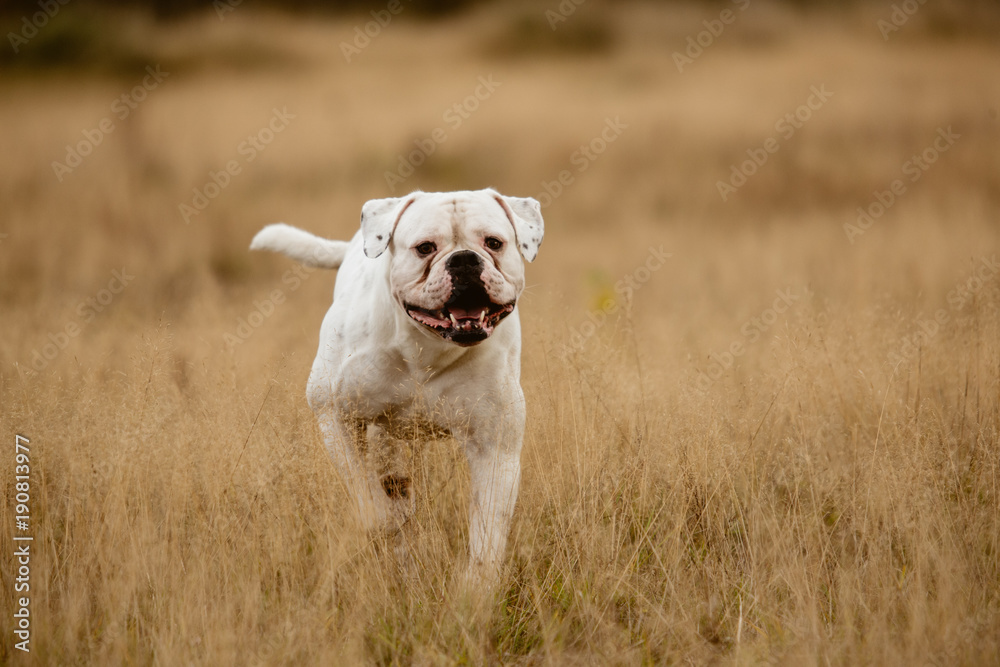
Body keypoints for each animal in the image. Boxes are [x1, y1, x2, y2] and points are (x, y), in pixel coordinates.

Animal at [254, 189, 544, 584]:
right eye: (425, 248)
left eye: (494, 243)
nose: (464, 260)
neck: (427, 349)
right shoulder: (336, 418)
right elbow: (370, 501)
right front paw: (389, 537)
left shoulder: (495, 446)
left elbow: (487, 534)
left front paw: (475, 589)